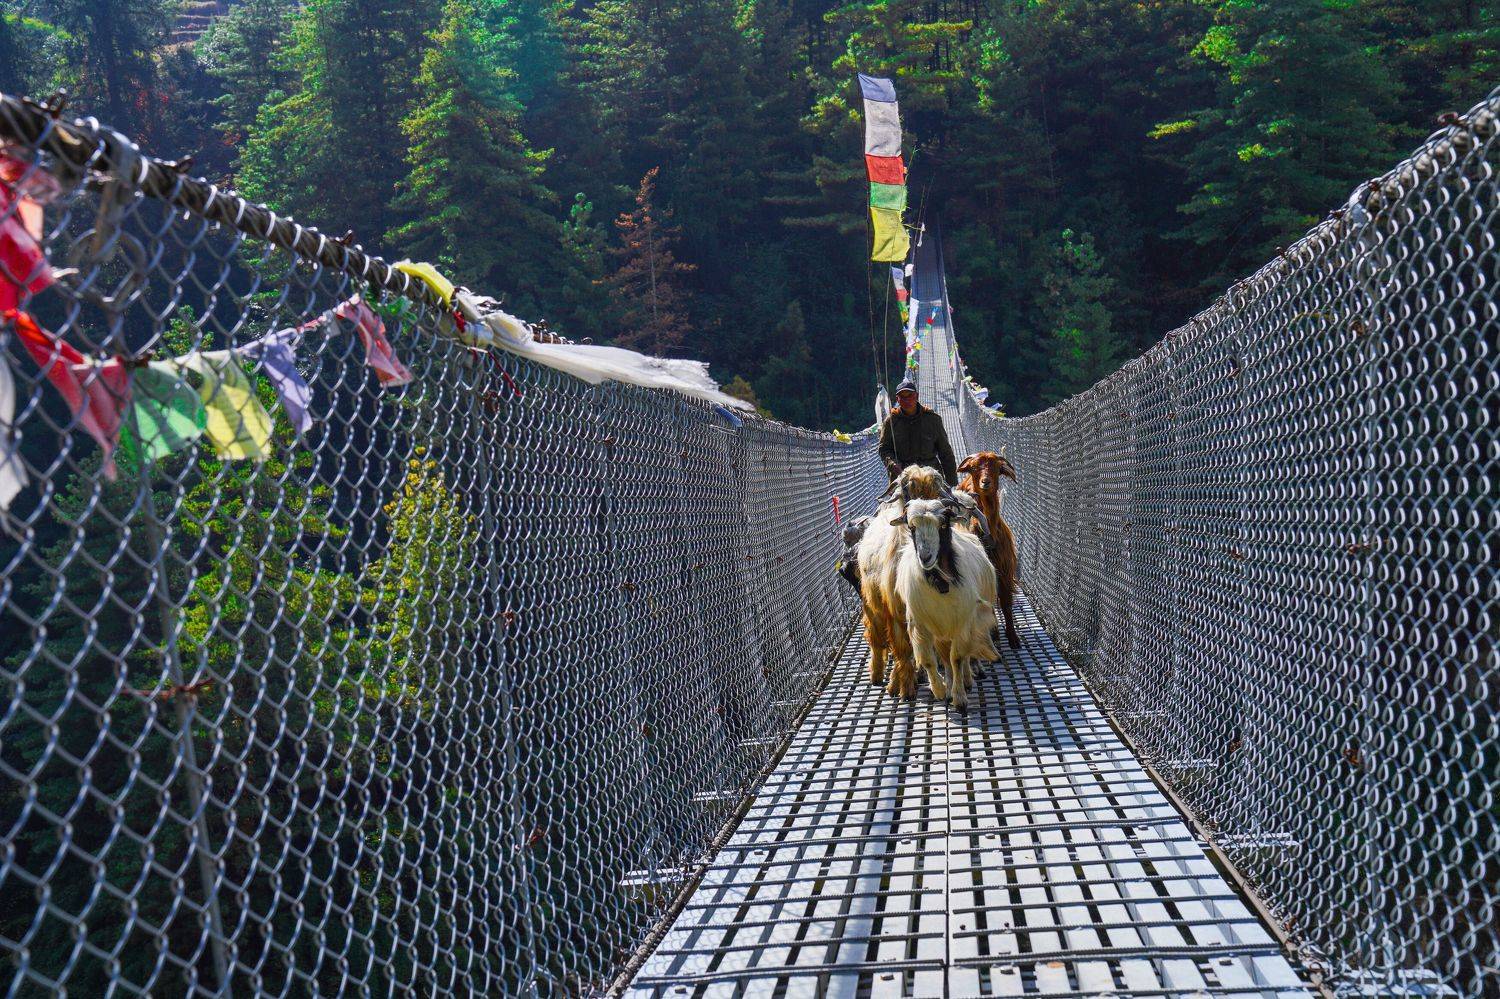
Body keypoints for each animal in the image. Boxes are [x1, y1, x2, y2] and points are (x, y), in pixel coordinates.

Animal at [893, 498, 998, 709]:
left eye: (942, 525)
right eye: (911, 527)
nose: (925, 557)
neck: (941, 586)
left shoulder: (963, 621)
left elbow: (957, 658)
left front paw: (959, 698)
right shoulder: (921, 623)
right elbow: (930, 660)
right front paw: (941, 690)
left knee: (961, 657)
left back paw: (966, 680)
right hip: (941, 629)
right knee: (945, 657)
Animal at [956, 451, 1021, 649]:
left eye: (996, 467)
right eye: (973, 468)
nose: (985, 482)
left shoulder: (1004, 571)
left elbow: (1006, 604)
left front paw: (1013, 638)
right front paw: (995, 635)